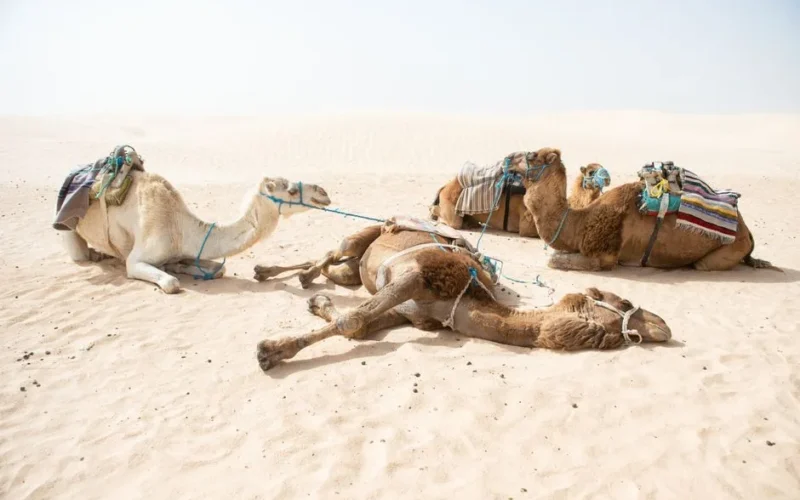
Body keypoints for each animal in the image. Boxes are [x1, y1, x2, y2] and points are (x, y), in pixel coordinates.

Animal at [60, 150, 332, 293]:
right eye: (291, 191)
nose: (323, 192)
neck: (179, 227)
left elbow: (219, 269)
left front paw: (179, 266)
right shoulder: (136, 259)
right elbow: (170, 283)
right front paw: (173, 272)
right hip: (68, 225)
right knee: (80, 254)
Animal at [252, 222, 671, 371]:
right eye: (620, 302)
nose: (664, 325)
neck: (467, 299)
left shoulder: (411, 313)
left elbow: (359, 326)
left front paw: (317, 306)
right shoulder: (417, 278)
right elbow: (351, 319)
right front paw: (270, 351)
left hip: (358, 266)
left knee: (333, 267)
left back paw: (294, 279)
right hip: (362, 236)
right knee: (332, 250)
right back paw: (283, 275)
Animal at [429, 161, 610, 237]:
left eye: (604, 167)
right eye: (591, 172)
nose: (607, 178)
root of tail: (446, 186)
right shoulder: (527, 223)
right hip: (451, 204)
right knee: (450, 219)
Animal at [502, 147, 775, 271]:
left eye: (531, 155)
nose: (508, 158)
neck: (580, 221)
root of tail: (746, 231)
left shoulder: (604, 256)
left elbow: (553, 260)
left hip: (729, 248)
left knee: (703, 264)